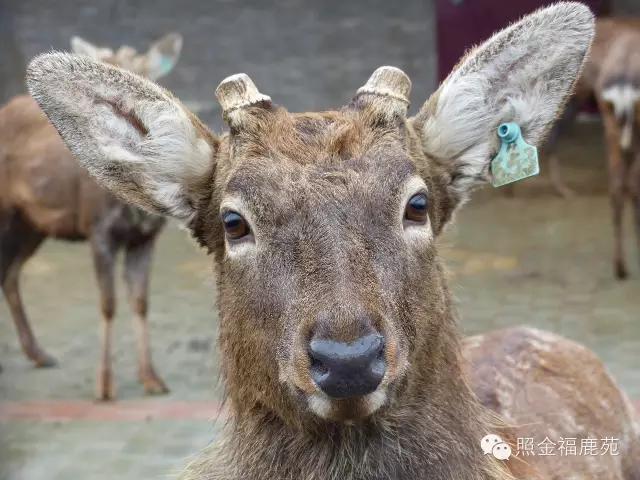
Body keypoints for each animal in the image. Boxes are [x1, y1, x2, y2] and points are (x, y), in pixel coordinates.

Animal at [0, 32, 183, 400]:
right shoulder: (97, 230)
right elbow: (108, 303)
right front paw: (105, 386)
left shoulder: (146, 237)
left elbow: (141, 302)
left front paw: (152, 378)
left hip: (30, 222)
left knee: (9, 273)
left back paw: (39, 354)